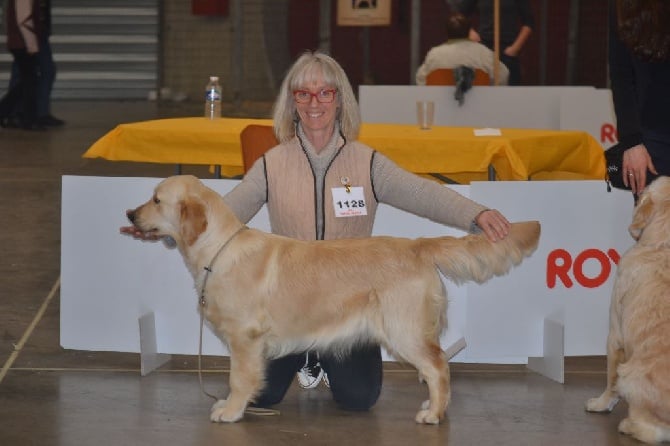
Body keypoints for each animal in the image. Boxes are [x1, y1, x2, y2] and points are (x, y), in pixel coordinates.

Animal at [127, 175, 540, 426]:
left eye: (156, 199)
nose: (130, 213)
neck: (218, 249)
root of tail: (418, 245)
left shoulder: (245, 339)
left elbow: (239, 378)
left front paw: (230, 410)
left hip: (403, 330)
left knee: (439, 366)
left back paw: (433, 414)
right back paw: (431, 405)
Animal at [584, 175, 670, 442]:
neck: (662, 244)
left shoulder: (615, 335)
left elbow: (611, 379)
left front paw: (601, 404)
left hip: (630, 374)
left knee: (651, 431)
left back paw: (628, 425)